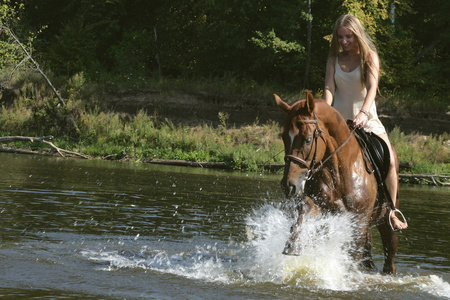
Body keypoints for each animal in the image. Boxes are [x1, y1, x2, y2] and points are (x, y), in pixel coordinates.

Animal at [274, 91, 398, 274]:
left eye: (308, 139)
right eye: (283, 137)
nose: (288, 185)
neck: (338, 172)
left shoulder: (358, 221)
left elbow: (354, 255)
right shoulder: (322, 208)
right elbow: (304, 209)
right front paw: (294, 244)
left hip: (385, 219)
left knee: (389, 256)